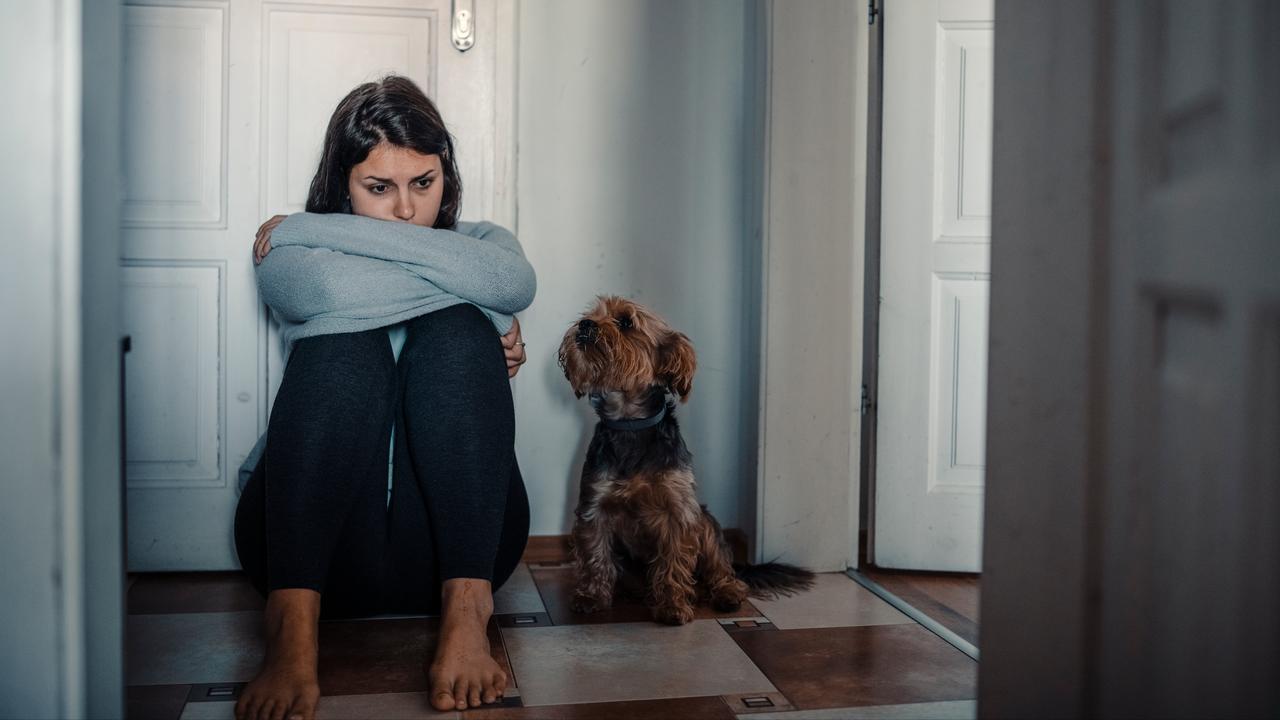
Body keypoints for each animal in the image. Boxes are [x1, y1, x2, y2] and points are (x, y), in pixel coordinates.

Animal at [558, 293, 814, 622]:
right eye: (591, 314)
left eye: (626, 322)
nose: (585, 325)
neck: (629, 423)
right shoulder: (595, 506)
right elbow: (595, 555)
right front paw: (591, 597)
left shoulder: (677, 511)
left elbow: (673, 561)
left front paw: (672, 605)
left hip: (705, 522)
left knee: (723, 571)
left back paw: (726, 593)